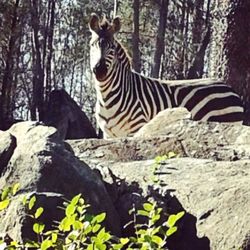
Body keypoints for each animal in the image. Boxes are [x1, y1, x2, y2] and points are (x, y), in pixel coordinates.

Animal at [88, 13, 244, 139]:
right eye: (92, 45)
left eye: (112, 48)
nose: (100, 71)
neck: (106, 97)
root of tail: (230, 88)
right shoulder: (109, 134)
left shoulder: (137, 128)